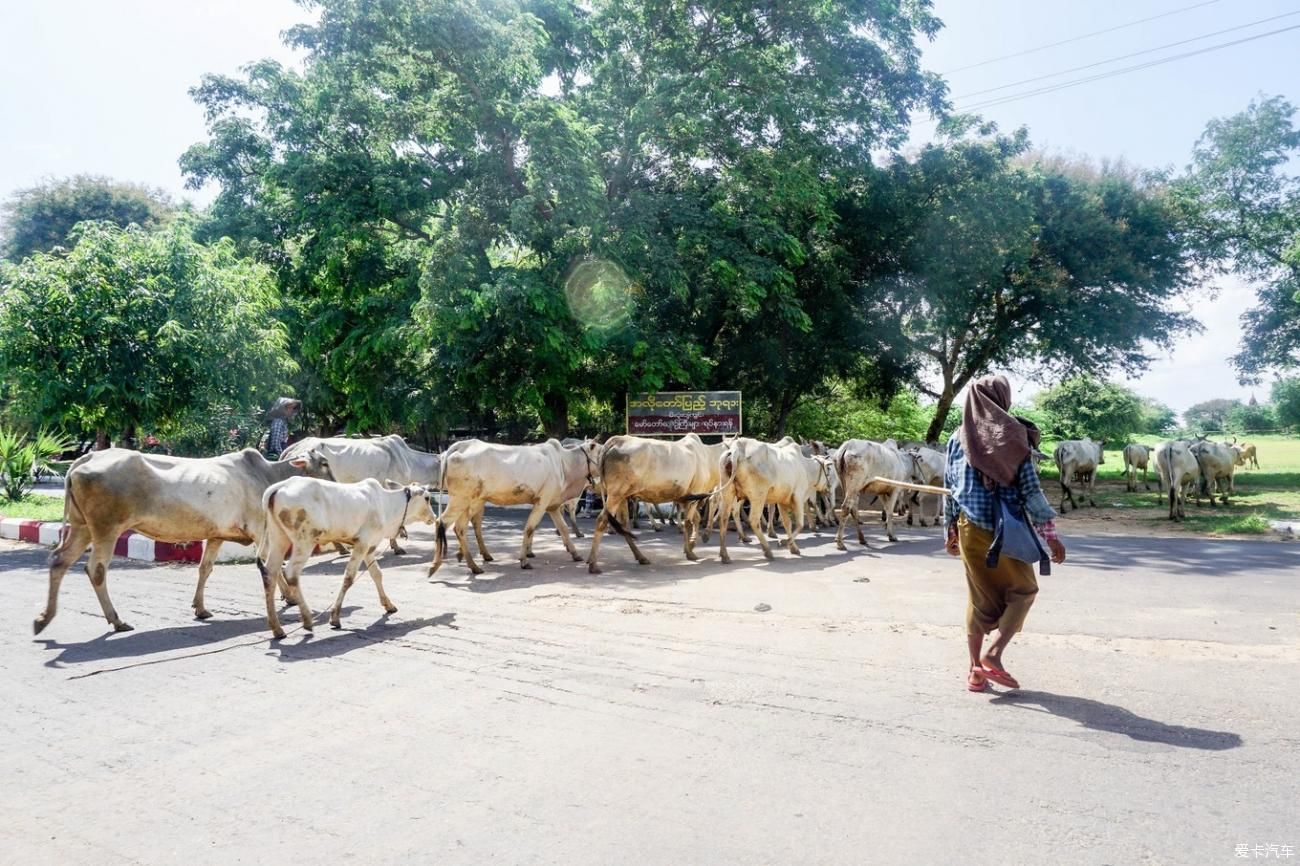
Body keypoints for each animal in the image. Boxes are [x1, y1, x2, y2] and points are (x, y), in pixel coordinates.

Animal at [261, 475, 439, 637]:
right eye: (427, 498)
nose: (434, 517)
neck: (387, 505)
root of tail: (277, 488)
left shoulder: (369, 547)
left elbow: (377, 574)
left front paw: (388, 605)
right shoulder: (362, 543)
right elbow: (349, 577)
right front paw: (335, 617)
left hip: (279, 539)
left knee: (270, 573)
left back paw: (277, 628)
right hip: (305, 541)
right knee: (290, 573)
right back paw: (306, 620)